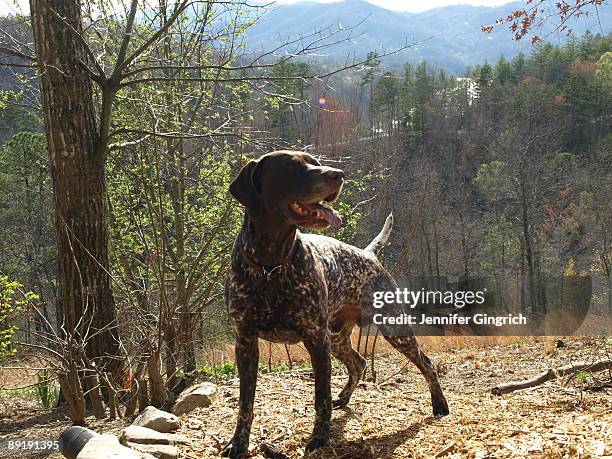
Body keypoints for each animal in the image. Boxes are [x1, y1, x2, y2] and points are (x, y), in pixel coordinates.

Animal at [222, 150, 448, 456]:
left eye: (314, 161)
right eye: (292, 167)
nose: (338, 174)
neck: (271, 265)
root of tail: (369, 254)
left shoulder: (316, 341)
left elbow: (321, 398)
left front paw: (320, 437)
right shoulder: (245, 343)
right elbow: (245, 404)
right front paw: (239, 442)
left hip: (392, 329)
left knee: (426, 363)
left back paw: (440, 404)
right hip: (339, 338)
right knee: (359, 363)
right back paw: (344, 397)